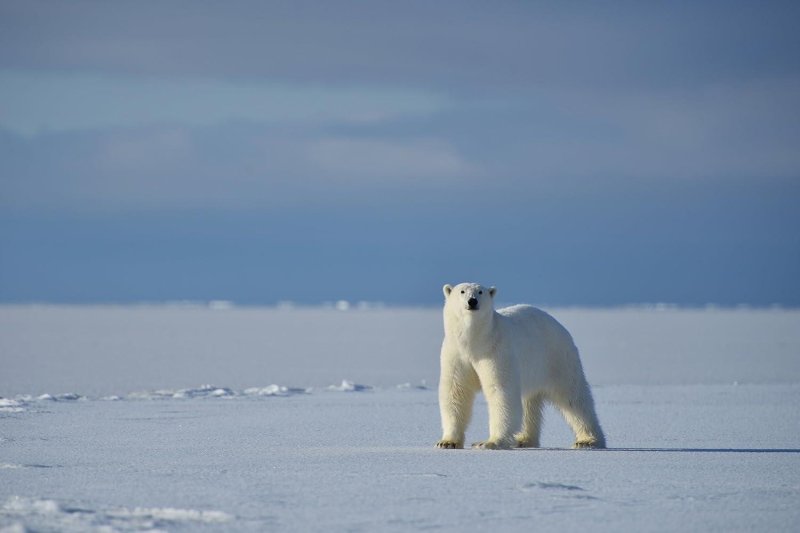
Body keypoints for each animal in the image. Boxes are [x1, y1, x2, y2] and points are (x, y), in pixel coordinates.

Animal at [434, 282, 604, 448]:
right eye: (462, 291)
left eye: (480, 292)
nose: (472, 301)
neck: (474, 343)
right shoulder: (456, 355)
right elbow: (456, 392)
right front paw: (447, 442)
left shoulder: (496, 351)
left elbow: (500, 391)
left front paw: (490, 442)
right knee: (529, 402)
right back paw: (524, 440)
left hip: (557, 357)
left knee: (573, 397)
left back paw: (588, 440)